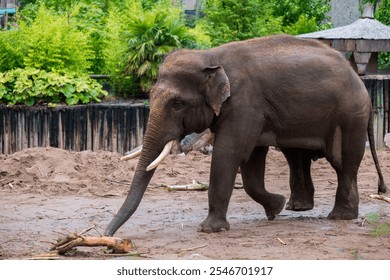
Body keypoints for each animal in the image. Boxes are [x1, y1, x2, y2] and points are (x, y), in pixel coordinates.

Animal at [103, 34, 386, 236]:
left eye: (177, 104)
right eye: (150, 95)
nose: (107, 235)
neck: (211, 56)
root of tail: (359, 80)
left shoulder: (245, 104)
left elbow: (228, 154)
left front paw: (209, 230)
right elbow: (251, 162)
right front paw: (276, 208)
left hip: (350, 116)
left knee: (344, 163)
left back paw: (339, 217)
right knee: (299, 157)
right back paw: (297, 207)